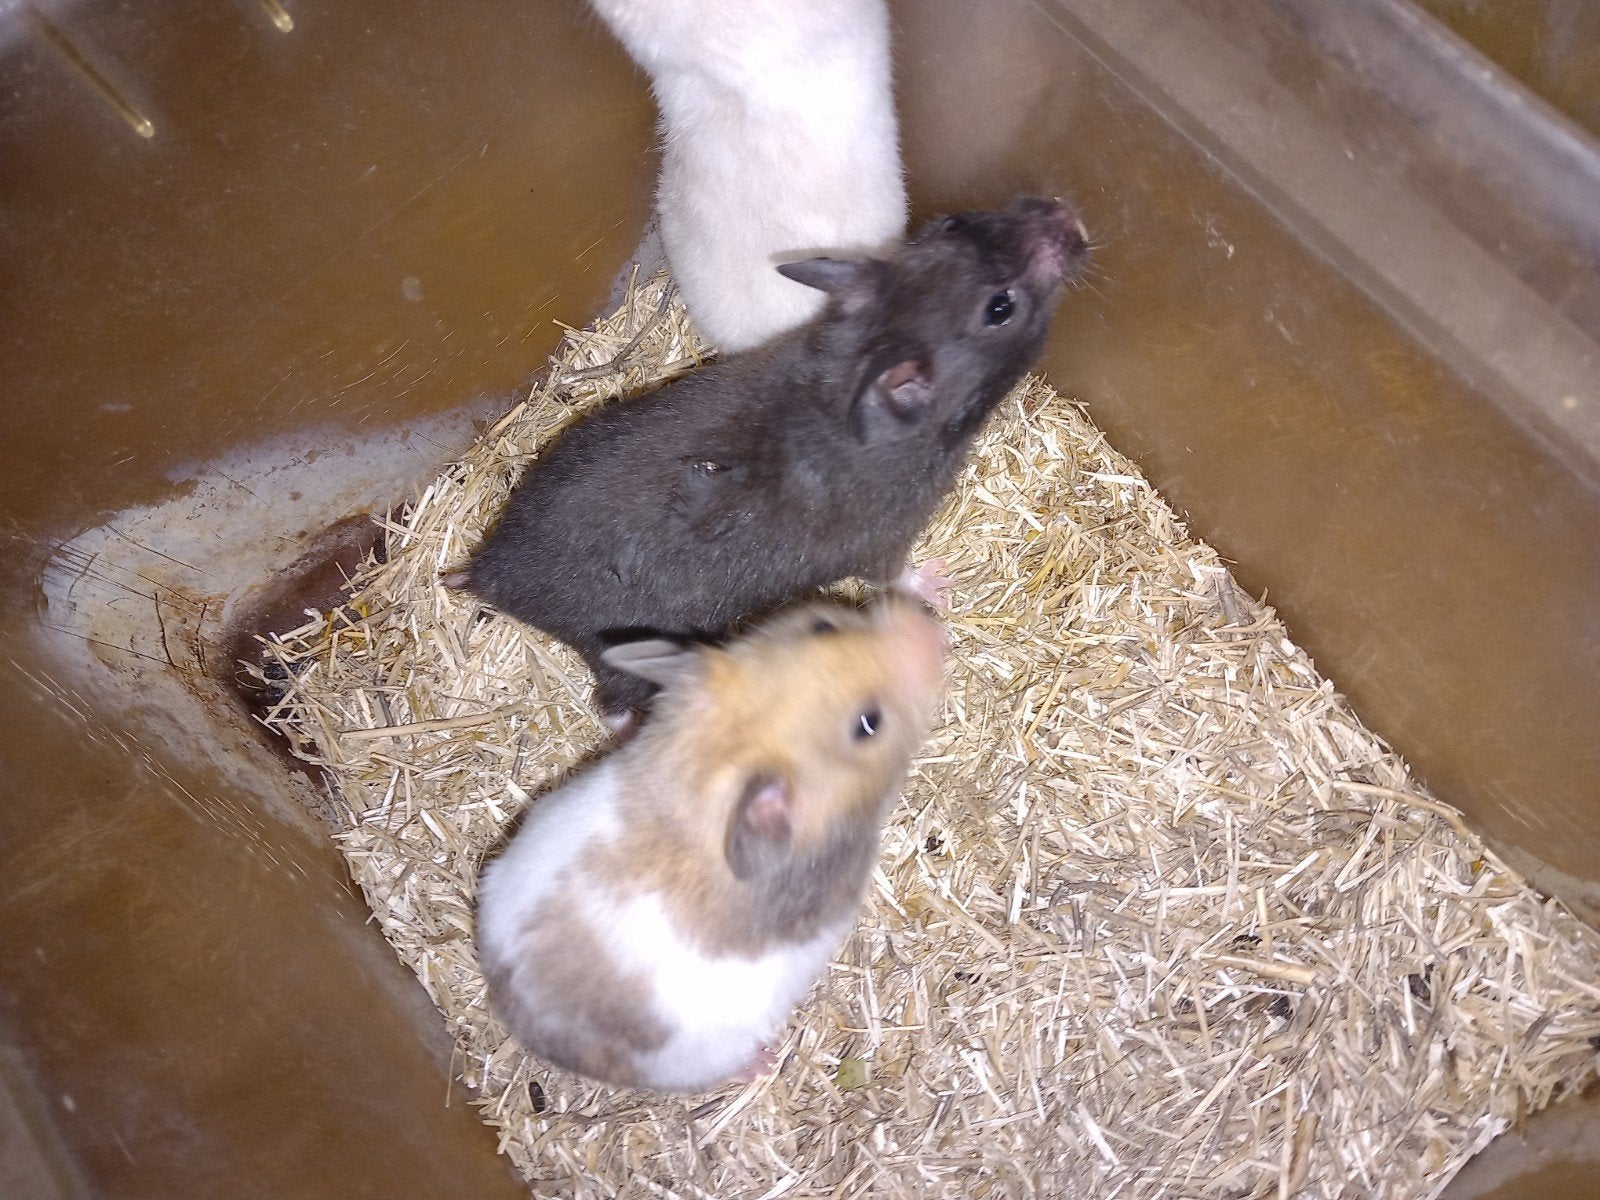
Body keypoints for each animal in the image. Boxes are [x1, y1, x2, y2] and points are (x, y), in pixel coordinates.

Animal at [457, 196, 1088, 715]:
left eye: (954, 221)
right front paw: (940, 581)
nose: (1067, 212)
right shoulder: (884, 537)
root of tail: (490, 574)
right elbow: (896, 575)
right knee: (612, 702)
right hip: (622, 645)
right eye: (1000, 307)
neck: (847, 370)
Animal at [474, 595, 945, 1093]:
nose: (933, 630)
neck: (713, 762)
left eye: (823, 625)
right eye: (868, 724)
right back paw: (763, 1063)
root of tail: (522, 1021)